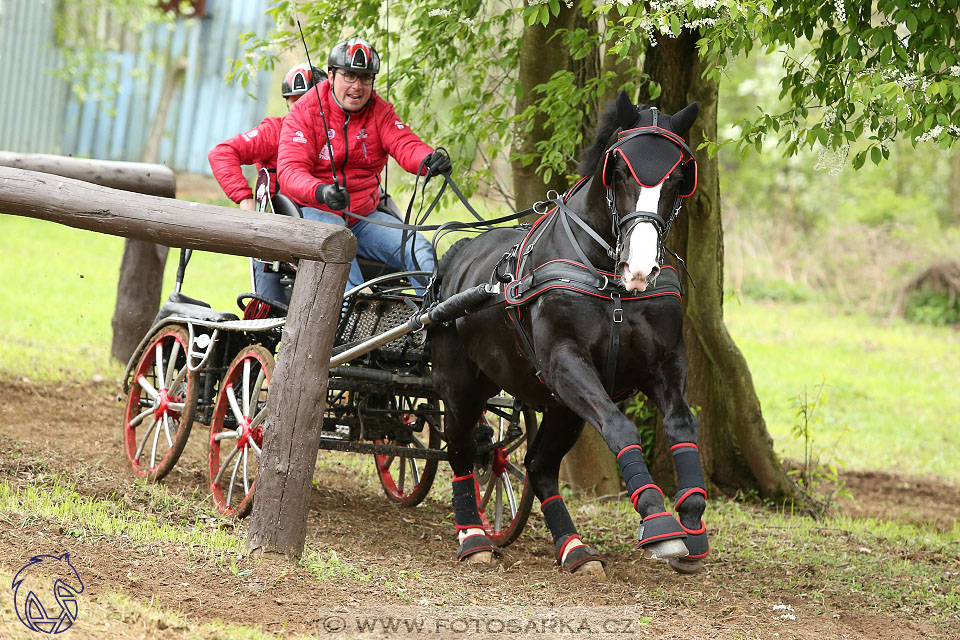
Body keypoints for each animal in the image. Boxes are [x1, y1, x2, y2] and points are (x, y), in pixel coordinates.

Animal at [432, 90, 708, 576]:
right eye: (619, 171)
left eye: (679, 178)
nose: (640, 267)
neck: (611, 282)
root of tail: (456, 255)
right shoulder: (565, 361)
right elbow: (620, 427)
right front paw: (658, 522)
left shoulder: (665, 362)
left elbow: (681, 425)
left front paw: (691, 520)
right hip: (462, 383)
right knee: (461, 450)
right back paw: (473, 536)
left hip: (562, 407)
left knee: (538, 466)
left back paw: (574, 547)